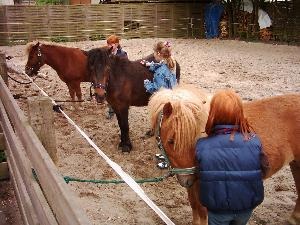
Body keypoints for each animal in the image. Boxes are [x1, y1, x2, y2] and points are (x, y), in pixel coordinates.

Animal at [149, 86, 300, 225]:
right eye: (171, 141)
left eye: (194, 139)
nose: (187, 179)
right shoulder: (193, 187)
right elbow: (194, 207)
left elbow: (202, 212)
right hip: (295, 164)